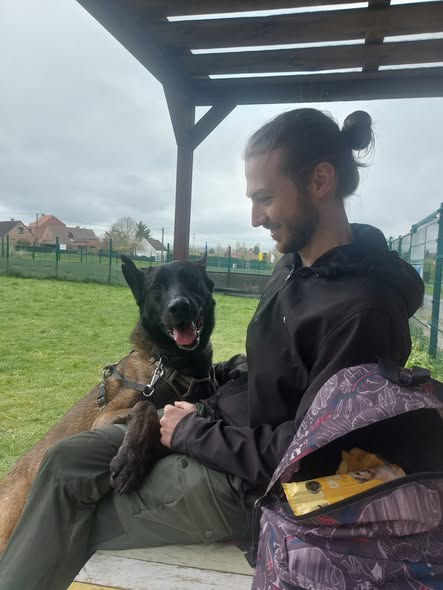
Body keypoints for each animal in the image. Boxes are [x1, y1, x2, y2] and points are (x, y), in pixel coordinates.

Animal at [0, 254, 218, 553]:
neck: (171, 363)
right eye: (156, 288)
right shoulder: (105, 416)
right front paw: (130, 460)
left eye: (190, 279)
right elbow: (145, 407)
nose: (180, 307)